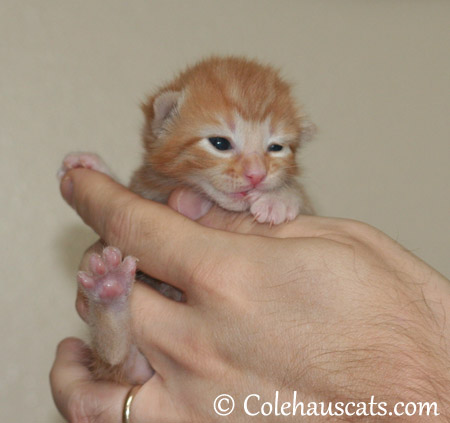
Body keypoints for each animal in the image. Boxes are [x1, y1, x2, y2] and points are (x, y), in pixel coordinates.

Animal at [58, 55, 314, 384]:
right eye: (220, 143)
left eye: (276, 147)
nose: (257, 175)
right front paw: (94, 165)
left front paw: (279, 198)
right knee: (119, 360)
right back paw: (109, 293)